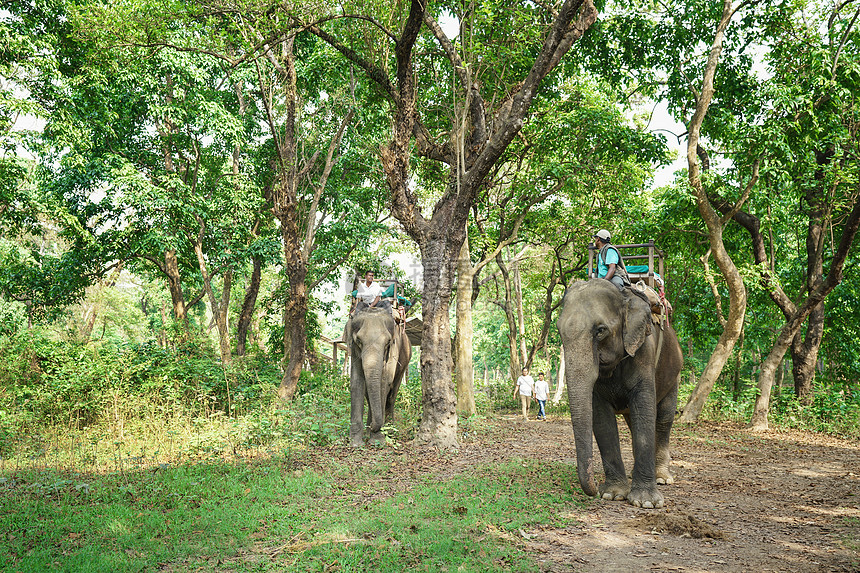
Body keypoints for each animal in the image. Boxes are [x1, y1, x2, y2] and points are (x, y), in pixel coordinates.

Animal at [344, 302, 412, 444]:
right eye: (359, 341)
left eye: (388, 342)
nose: (373, 427)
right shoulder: (354, 350)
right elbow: (357, 381)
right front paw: (356, 442)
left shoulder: (393, 349)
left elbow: (384, 382)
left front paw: (377, 440)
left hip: (405, 358)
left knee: (392, 395)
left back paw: (390, 431)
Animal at [556, 280, 684, 508]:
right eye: (559, 330)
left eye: (600, 331)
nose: (594, 490)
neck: (624, 296)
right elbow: (601, 418)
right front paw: (613, 494)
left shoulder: (644, 351)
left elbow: (644, 408)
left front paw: (646, 502)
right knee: (634, 422)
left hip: (675, 374)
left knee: (663, 419)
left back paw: (661, 478)